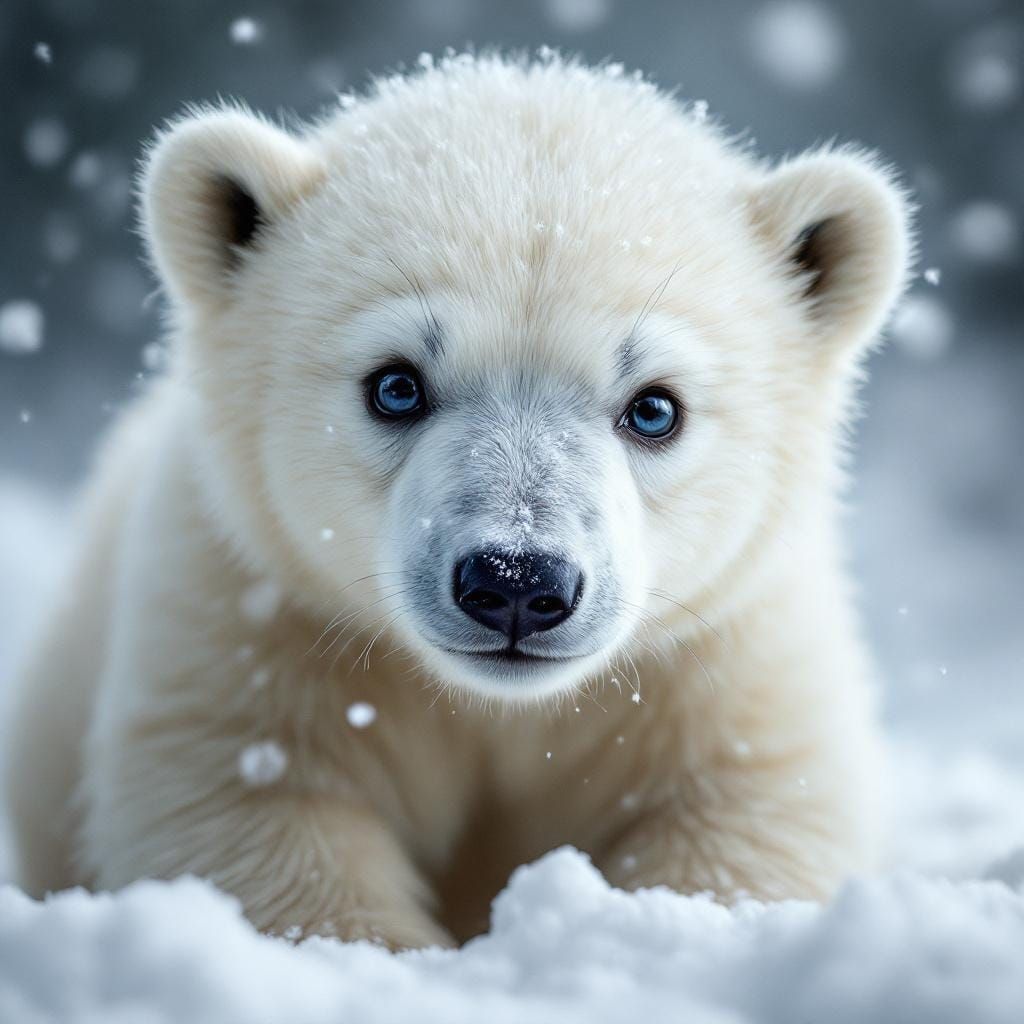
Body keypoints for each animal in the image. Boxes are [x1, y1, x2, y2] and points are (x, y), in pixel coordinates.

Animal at [3, 52, 911, 948]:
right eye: (396, 385)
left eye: (655, 406)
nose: (517, 581)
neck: (495, 709)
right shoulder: (252, 612)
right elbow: (251, 799)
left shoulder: (723, 649)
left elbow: (753, 810)